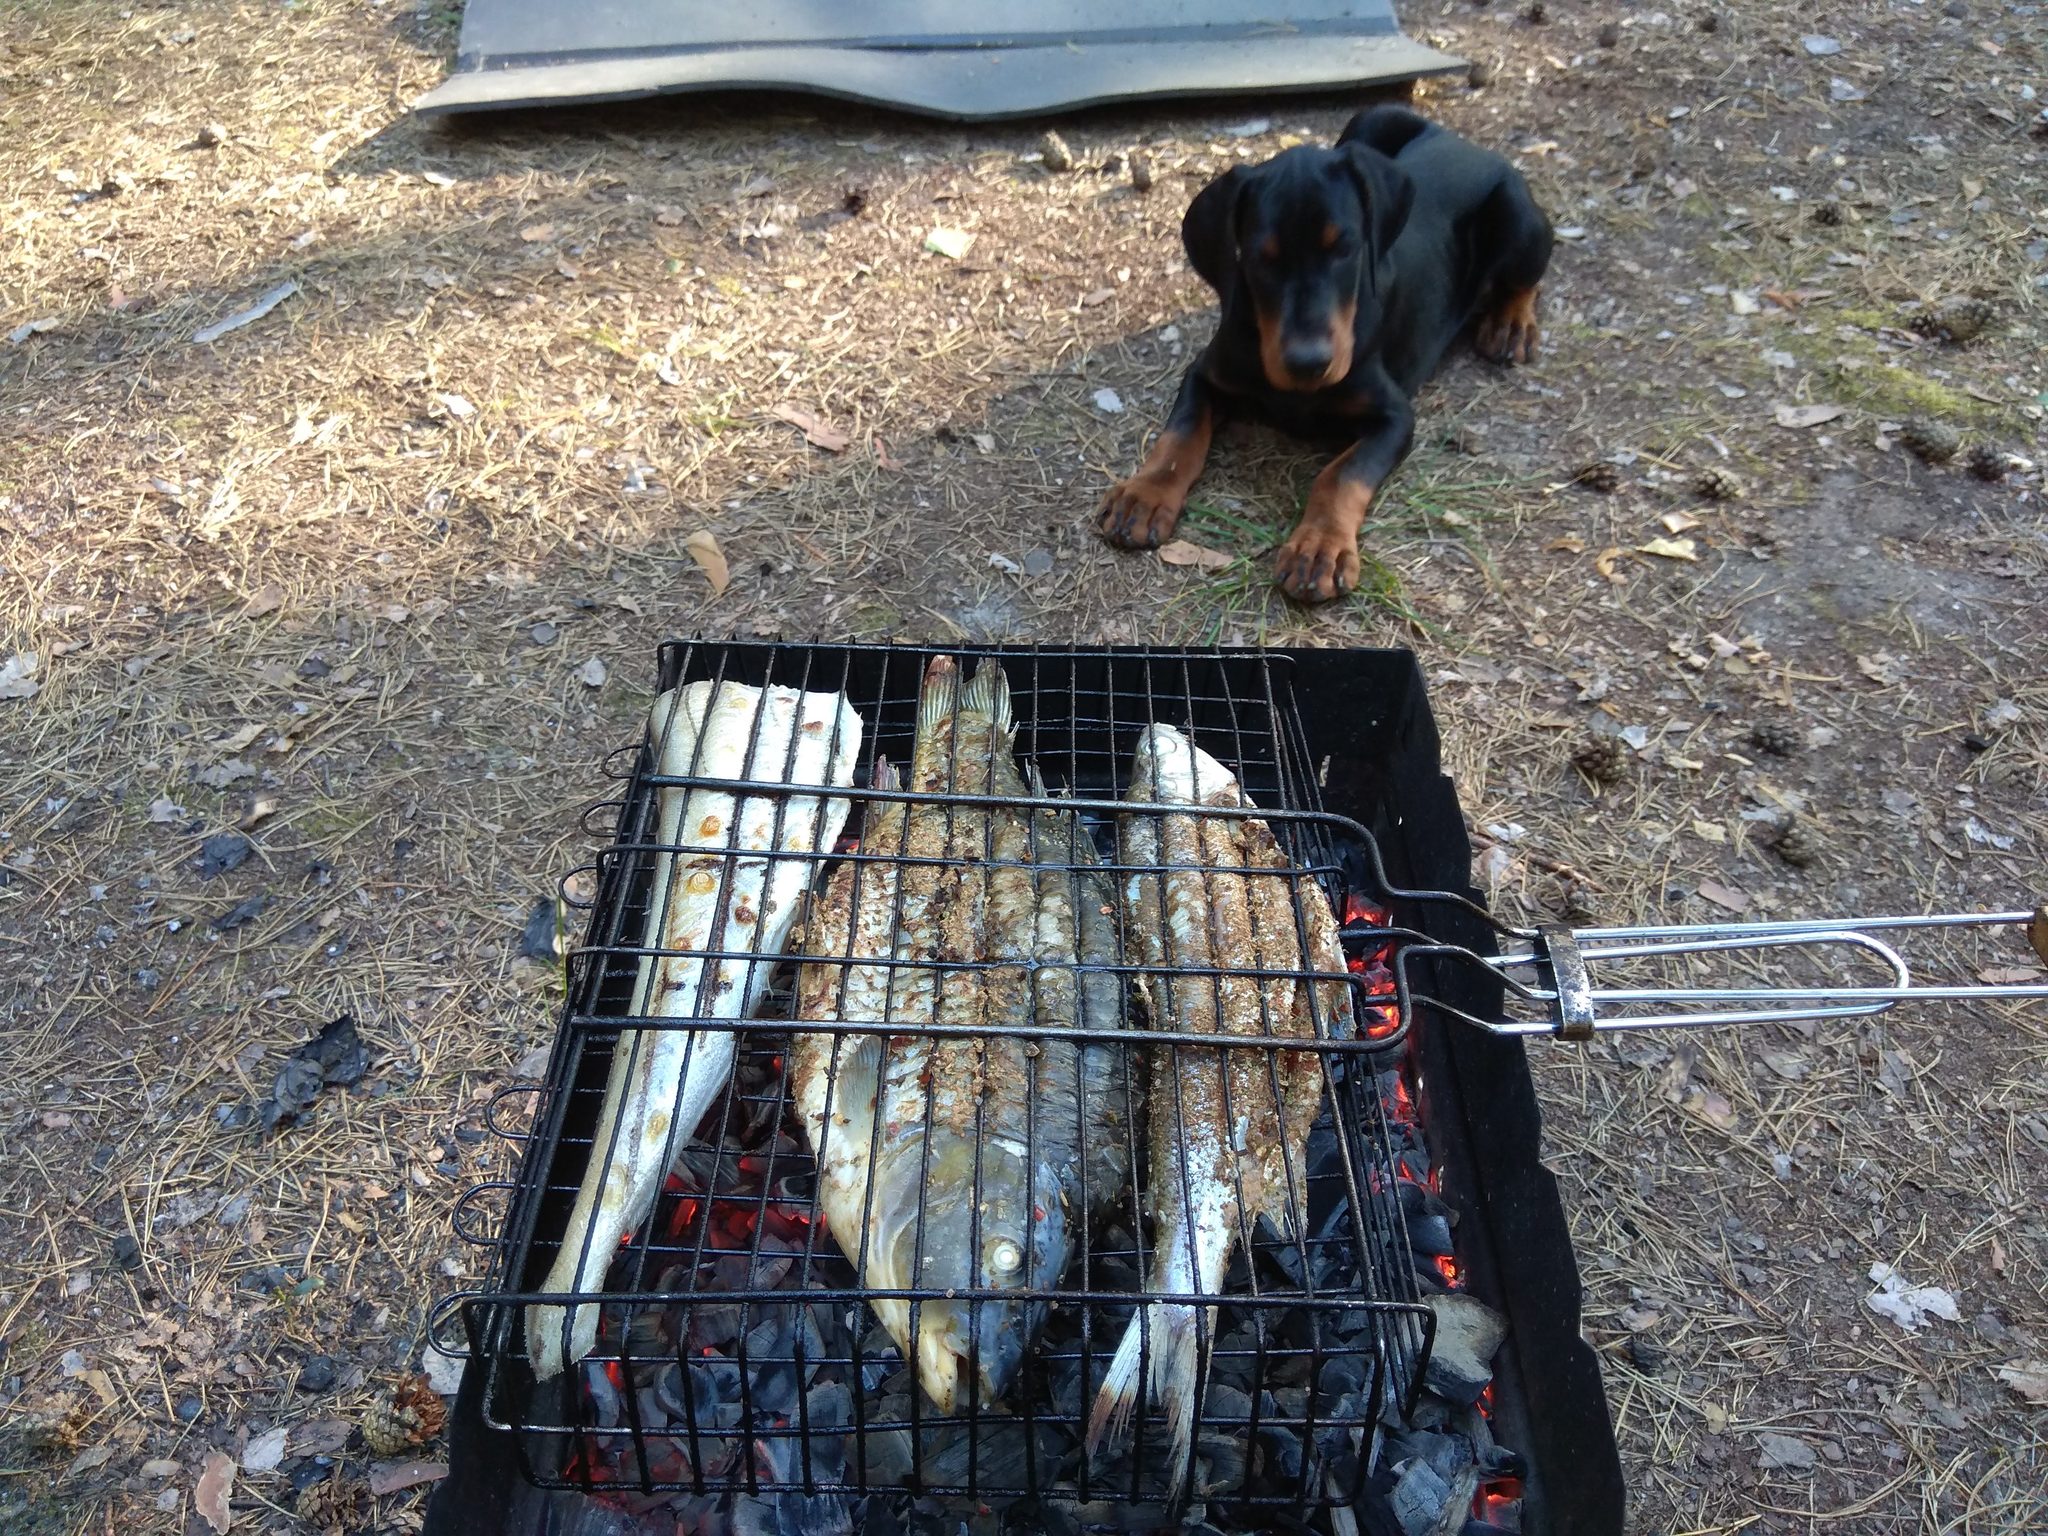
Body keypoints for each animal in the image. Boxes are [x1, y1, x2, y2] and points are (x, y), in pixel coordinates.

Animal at [1105, 103, 1548, 602]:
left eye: (1346, 248)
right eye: (1260, 258)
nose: (1308, 363)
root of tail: (1455, 138)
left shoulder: (1395, 416)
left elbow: (1341, 475)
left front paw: (1318, 548)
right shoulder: (1206, 373)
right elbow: (1180, 434)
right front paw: (1144, 495)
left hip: (1519, 221)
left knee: (1527, 278)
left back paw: (1511, 324)